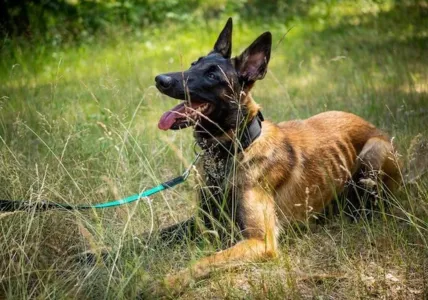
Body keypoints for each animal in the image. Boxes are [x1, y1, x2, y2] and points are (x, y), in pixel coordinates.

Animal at [152, 17, 400, 294]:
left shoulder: (260, 241)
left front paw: (166, 282)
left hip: (373, 151)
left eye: (212, 75)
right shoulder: (203, 222)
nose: (160, 79)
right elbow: (151, 236)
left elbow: (206, 260)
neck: (235, 148)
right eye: (194, 64)